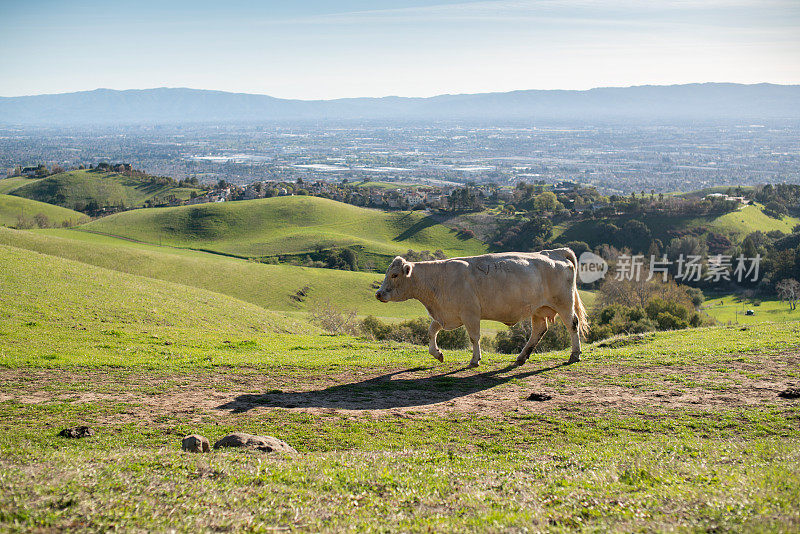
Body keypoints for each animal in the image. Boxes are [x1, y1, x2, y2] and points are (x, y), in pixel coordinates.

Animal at [374, 248, 588, 368]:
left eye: (394, 275)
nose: (378, 294)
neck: (438, 278)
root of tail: (555, 252)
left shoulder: (470, 314)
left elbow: (474, 337)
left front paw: (475, 360)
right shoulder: (447, 314)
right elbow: (431, 331)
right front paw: (438, 354)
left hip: (564, 304)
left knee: (572, 325)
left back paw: (574, 354)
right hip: (538, 309)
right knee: (538, 330)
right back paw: (521, 357)